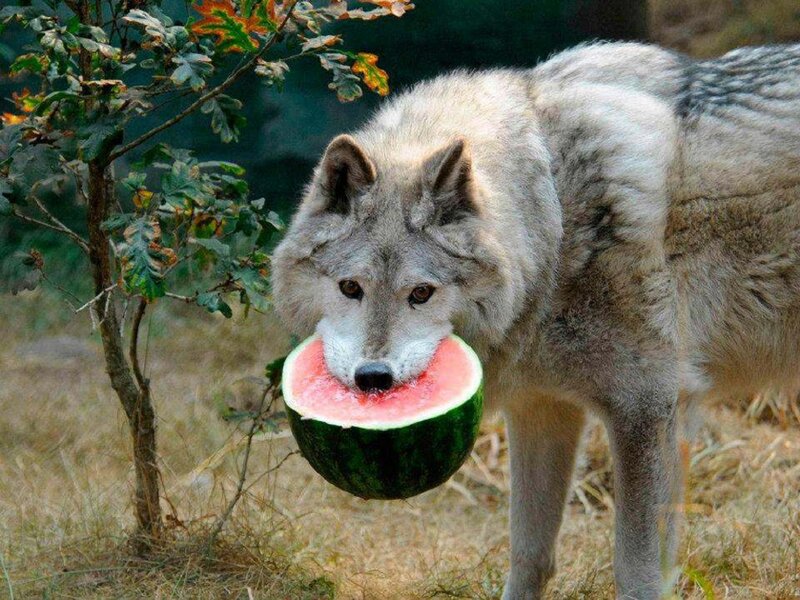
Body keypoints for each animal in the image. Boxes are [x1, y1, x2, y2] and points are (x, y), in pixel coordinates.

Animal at [271, 42, 800, 599]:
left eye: (421, 294)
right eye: (351, 288)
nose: (373, 379)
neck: (554, 218)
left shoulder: (647, 409)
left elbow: (637, 571)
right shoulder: (542, 408)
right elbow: (530, 554)